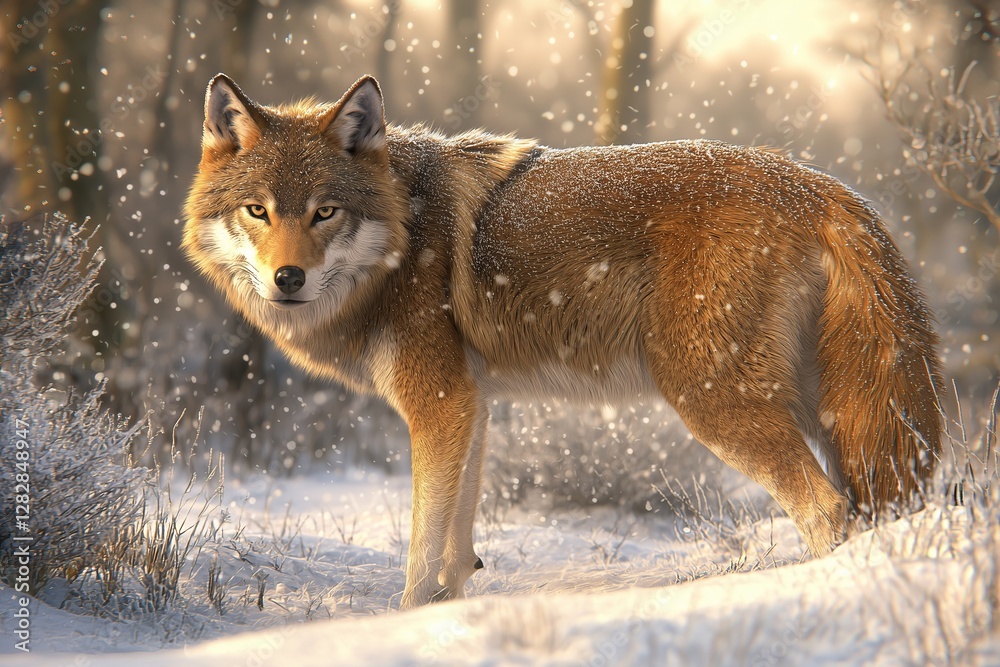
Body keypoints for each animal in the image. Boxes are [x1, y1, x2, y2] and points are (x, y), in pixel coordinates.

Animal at [183, 74, 943, 609]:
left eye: (326, 212)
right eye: (258, 210)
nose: (287, 279)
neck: (404, 228)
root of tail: (824, 187)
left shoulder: (440, 403)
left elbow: (421, 556)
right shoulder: (472, 403)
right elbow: (456, 551)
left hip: (716, 402)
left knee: (827, 509)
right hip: (837, 411)